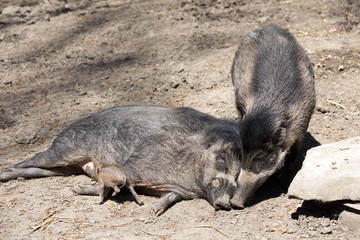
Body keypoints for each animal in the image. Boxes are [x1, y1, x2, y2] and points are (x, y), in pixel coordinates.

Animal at [1, 106, 242, 215]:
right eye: (221, 161)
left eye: (238, 175)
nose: (225, 203)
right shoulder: (133, 167)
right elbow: (110, 187)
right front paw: (78, 189)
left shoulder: (178, 190)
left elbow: (171, 197)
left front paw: (154, 210)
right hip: (65, 148)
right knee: (32, 160)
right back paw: (5, 172)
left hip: (64, 166)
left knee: (39, 170)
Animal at [231, 24, 316, 208]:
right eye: (242, 152)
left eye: (262, 157)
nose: (235, 202)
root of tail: (266, 26)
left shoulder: (301, 127)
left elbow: (292, 158)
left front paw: (285, 188)